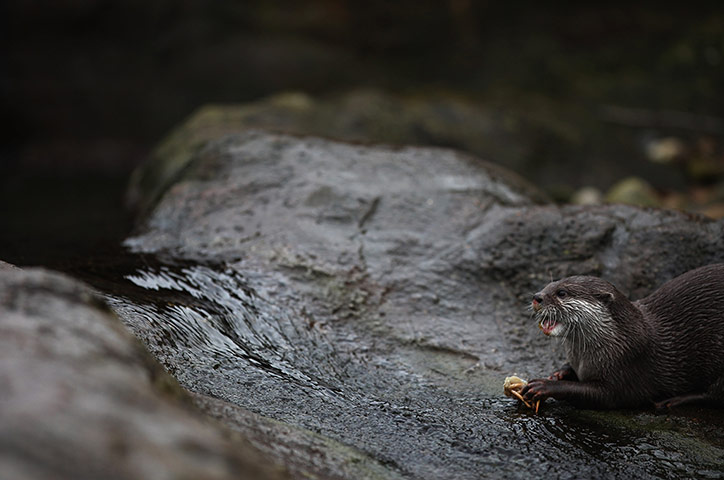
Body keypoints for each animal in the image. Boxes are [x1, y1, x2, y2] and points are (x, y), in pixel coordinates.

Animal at [521, 263, 724, 409]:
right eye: (547, 286)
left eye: (561, 293)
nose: (537, 297)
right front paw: (559, 373)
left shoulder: (628, 365)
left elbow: (606, 396)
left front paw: (544, 386)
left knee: (712, 394)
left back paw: (673, 401)